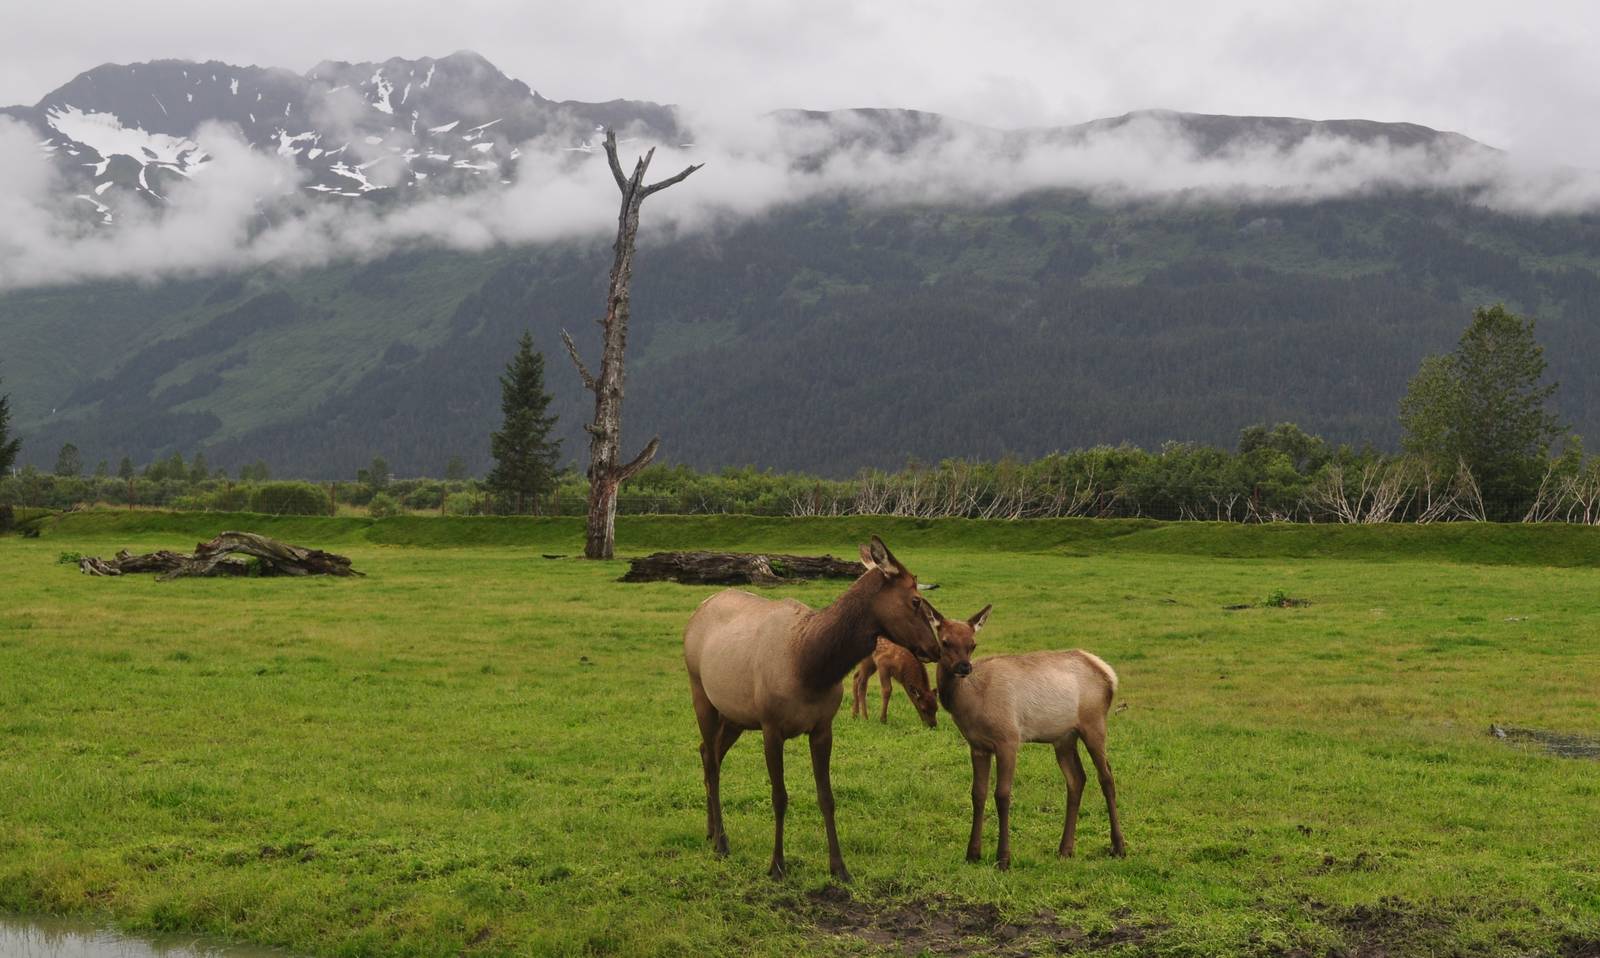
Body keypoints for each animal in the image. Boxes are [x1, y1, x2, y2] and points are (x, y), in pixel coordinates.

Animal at [683, 536, 941, 882]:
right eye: (915, 600)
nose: (935, 648)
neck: (810, 666)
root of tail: (699, 609)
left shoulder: (822, 727)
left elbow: (827, 797)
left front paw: (839, 867)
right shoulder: (771, 727)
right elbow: (779, 797)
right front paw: (777, 865)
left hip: (735, 714)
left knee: (706, 752)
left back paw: (711, 831)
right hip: (701, 693)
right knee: (711, 762)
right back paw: (722, 842)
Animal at [931, 605, 1126, 869]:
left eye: (972, 644)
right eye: (945, 642)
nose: (963, 667)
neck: (971, 702)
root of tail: (1110, 676)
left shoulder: (1008, 740)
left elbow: (1002, 795)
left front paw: (1003, 858)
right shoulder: (978, 746)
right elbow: (977, 794)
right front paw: (972, 854)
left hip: (1094, 724)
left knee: (1106, 777)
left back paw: (1118, 846)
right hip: (1064, 738)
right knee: (1077, 779)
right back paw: (1065, 848)